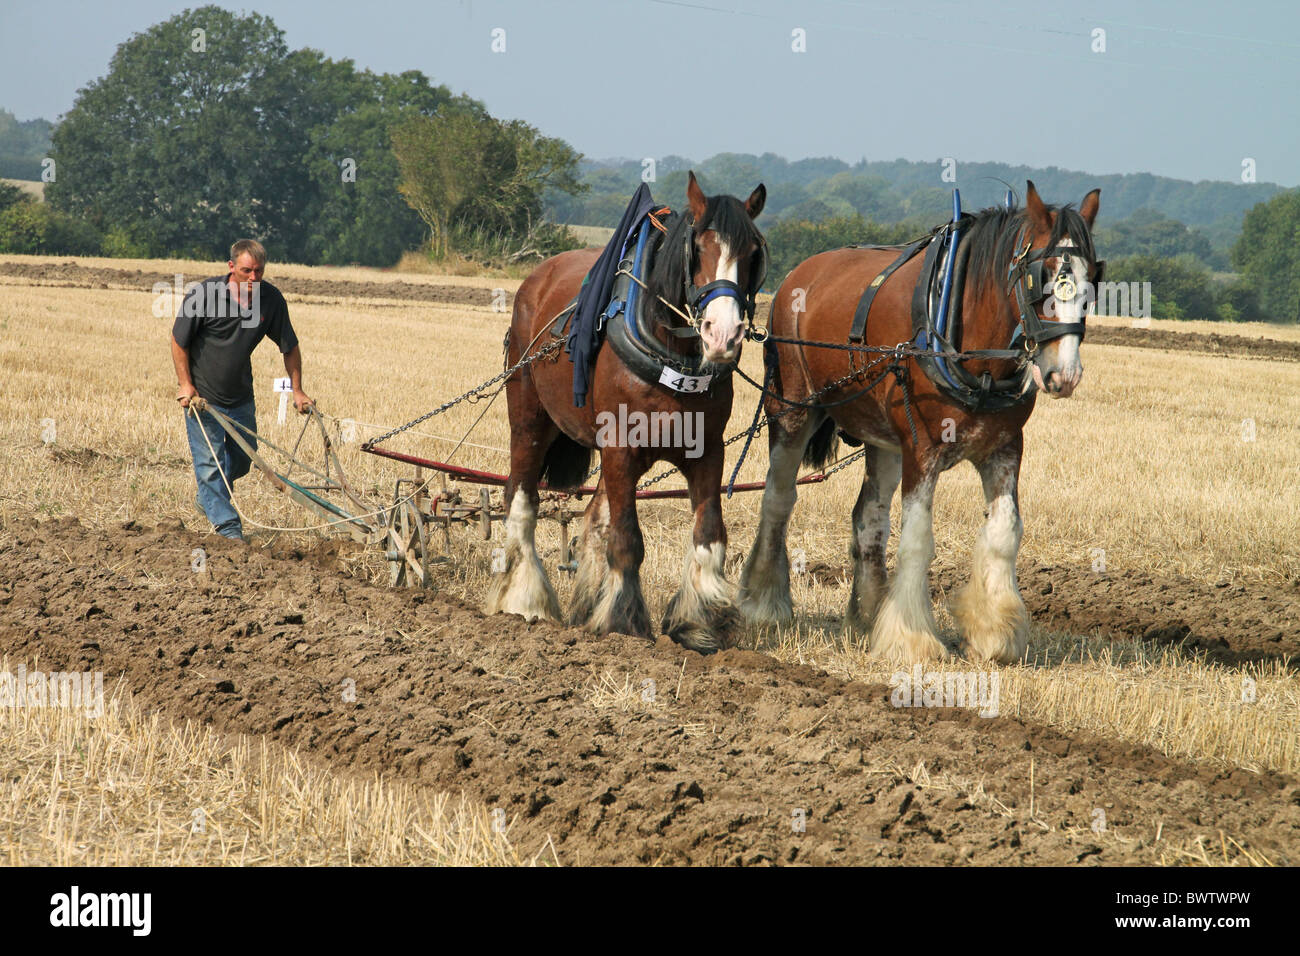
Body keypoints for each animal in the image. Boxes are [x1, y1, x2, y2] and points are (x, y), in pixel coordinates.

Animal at [488, 171, 769, 655]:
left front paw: (698, 623)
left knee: (592, 517)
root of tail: (537, 278)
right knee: (521, 498)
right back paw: (526, 599)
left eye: (753, 253)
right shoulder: (620, 447)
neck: (671, 354)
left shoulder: (707, 452)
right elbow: (626, 540)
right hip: (528, 418)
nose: (723, 335)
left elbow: (710, 536)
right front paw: (625, 623)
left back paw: (585, 602)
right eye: (698, 247)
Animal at [743, 184, 1097, 665]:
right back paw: (764, 603)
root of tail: (801, 273)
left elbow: (1005, 531)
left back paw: (869, 615)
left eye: (1091, 278)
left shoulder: (1004, 448)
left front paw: (995, 633)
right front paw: (912, 638)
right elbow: (917, 539)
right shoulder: (920, 449)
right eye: (1040, 275)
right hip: (792, 410)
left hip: (882, 439)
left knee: (869, 518)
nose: (1066, 374)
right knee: (778, 500)